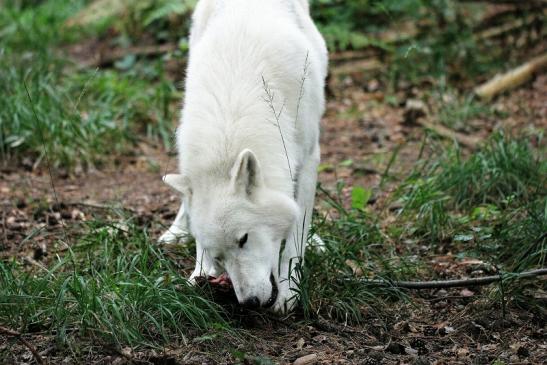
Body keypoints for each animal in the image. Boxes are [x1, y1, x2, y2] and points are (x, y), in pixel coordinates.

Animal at [161, 0, 328, 312]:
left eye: (244, 239)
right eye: (219, 256)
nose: (249, 302)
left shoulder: (308, 158)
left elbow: (296, 234)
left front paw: (289, 293)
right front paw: (199, 271)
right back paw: (176, 230)